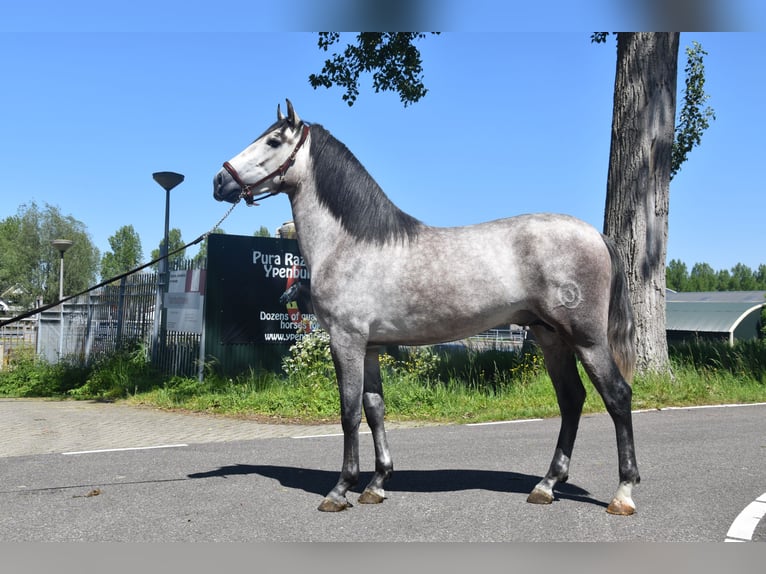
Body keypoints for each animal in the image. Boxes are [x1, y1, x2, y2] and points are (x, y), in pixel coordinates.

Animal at [213, 100, 640, 516]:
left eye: (273, 141)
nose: (219, 181)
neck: (350, 244)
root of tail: (596, 235)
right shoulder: (369, 347)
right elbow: (374, 408)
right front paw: (377, 484)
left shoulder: (346, 341)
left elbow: (349, 413)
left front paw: (340, 489)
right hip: (551, 338)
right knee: (572, 400)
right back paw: (546, 485)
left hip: (586, 339)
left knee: (617, 396)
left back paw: (622, 493)